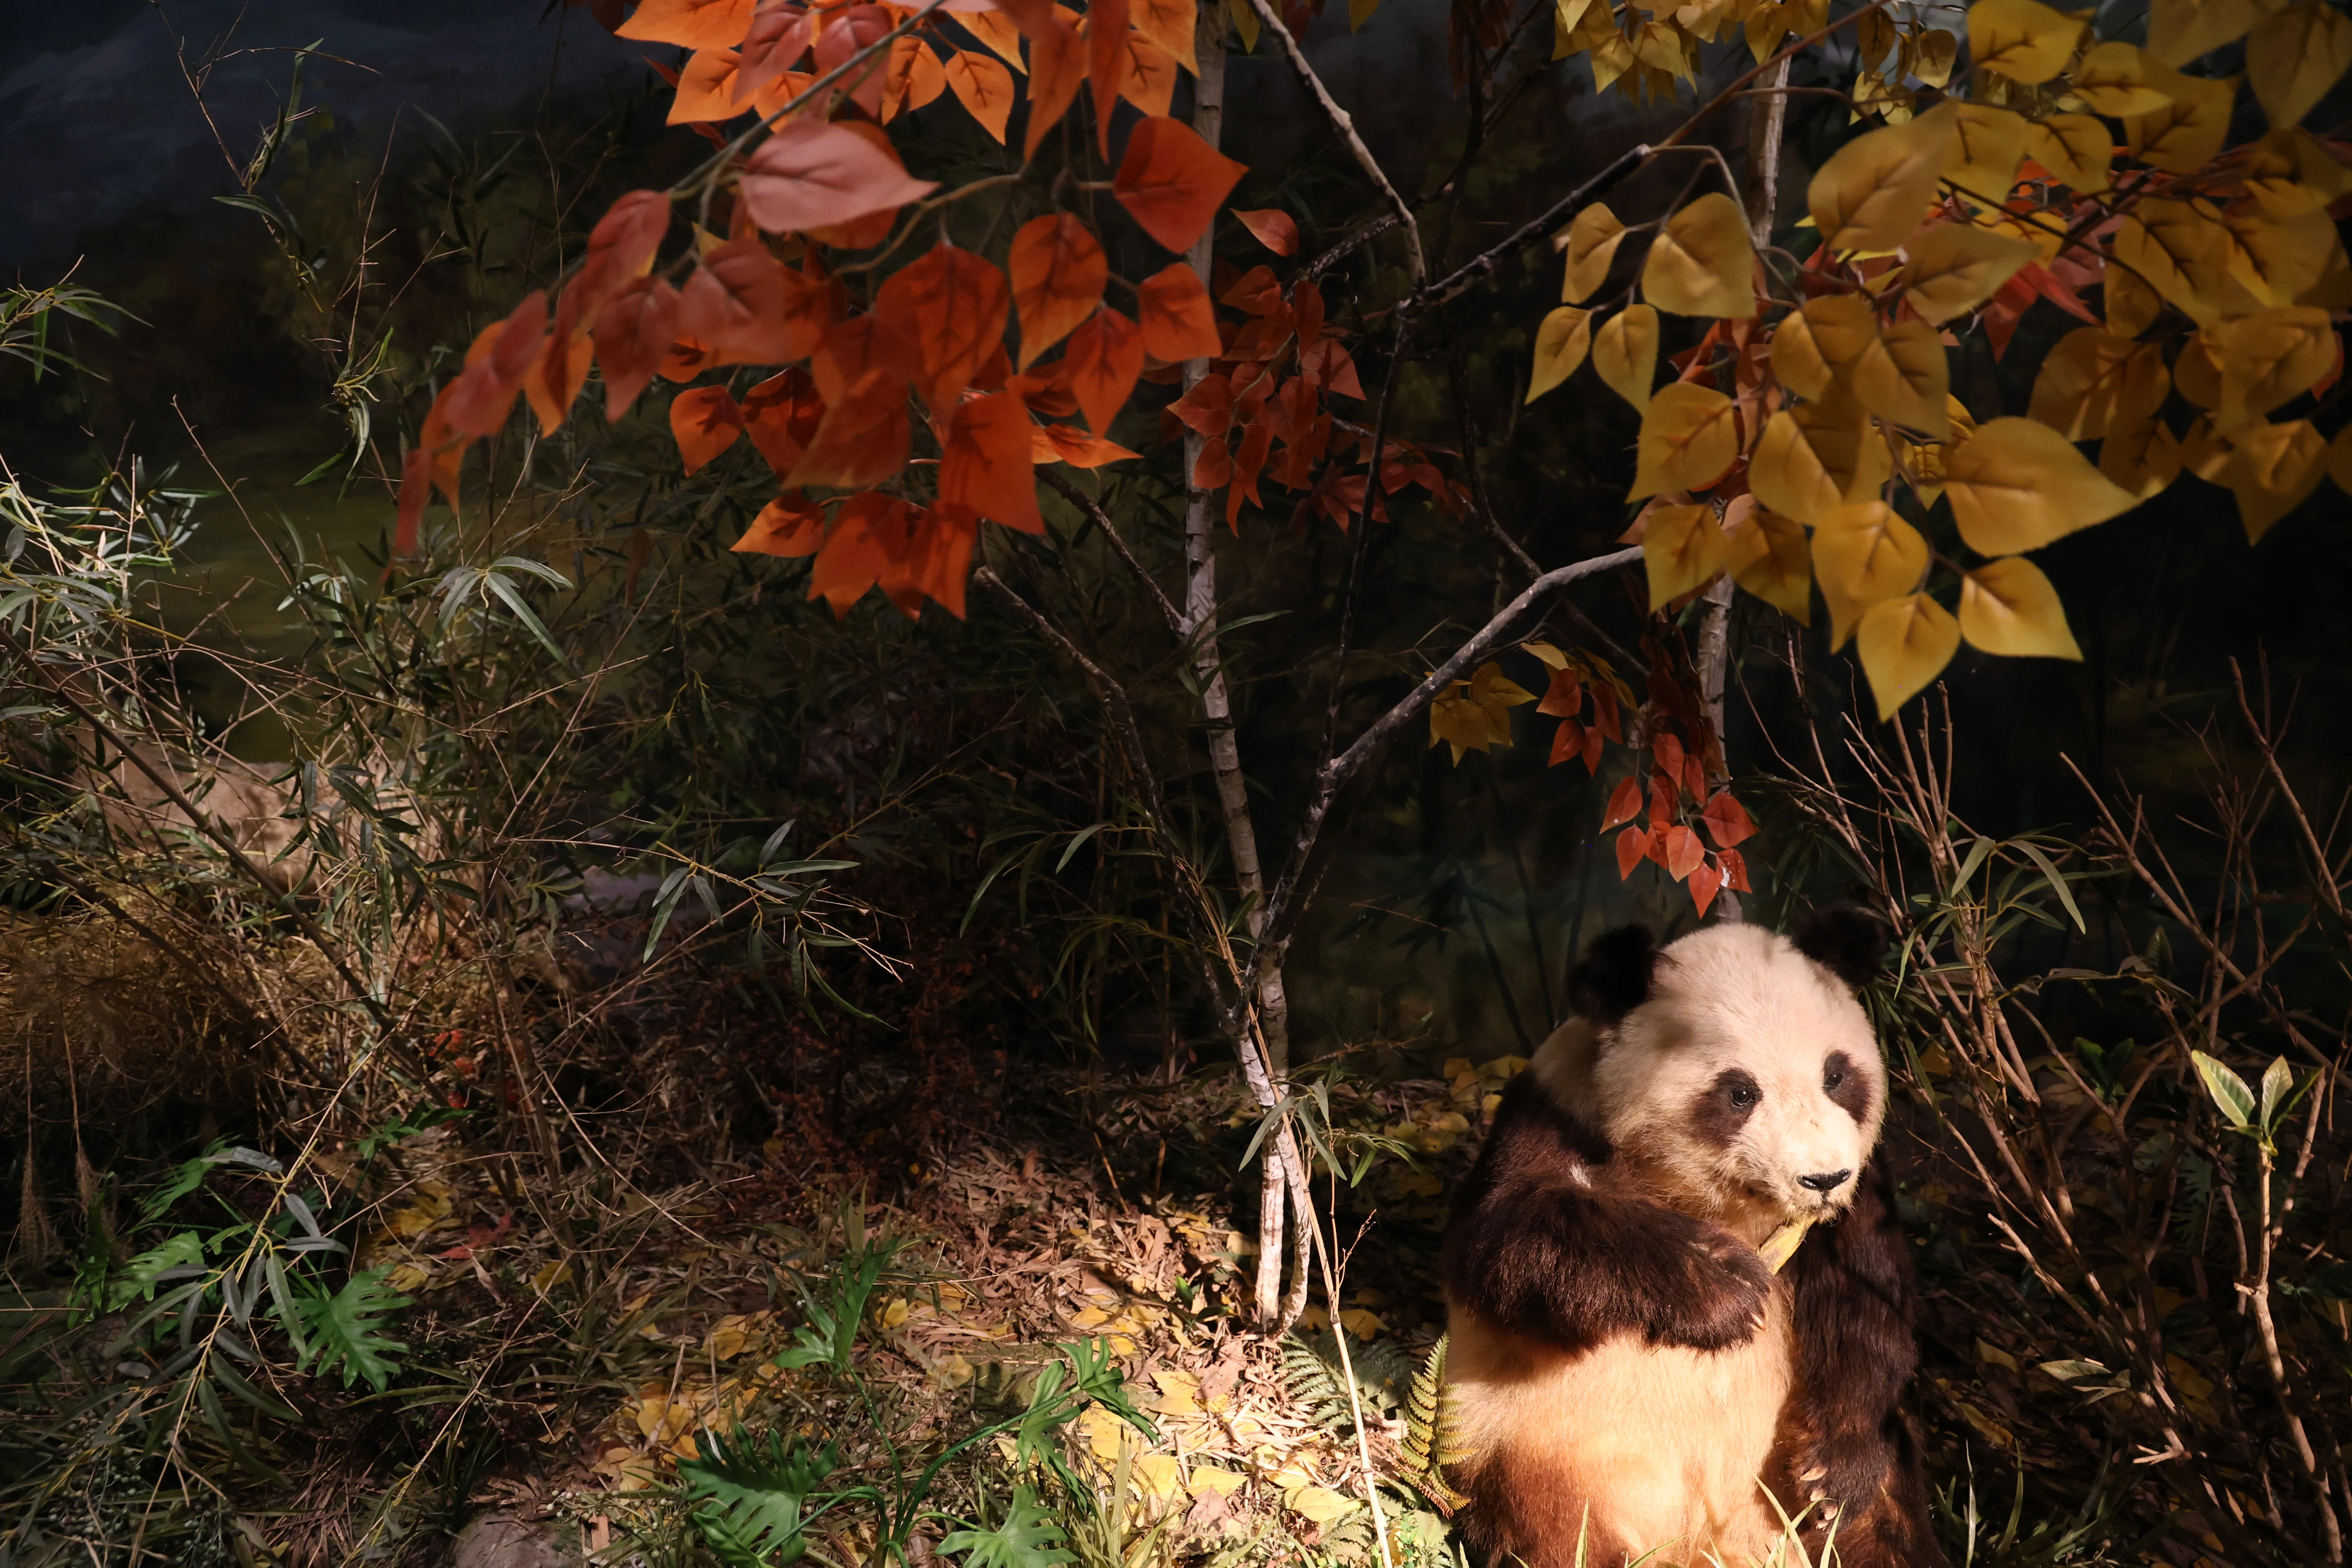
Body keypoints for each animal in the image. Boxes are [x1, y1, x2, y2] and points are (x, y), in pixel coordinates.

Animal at [1441, 908, 1944, 1568]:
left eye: (1836, 1076)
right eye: (1740, 1093)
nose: (1823, 1178)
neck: (1727, 1204)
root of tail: (1707, 1545)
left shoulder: (1860, 1196)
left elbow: (1870, 1304)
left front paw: (1831, 1475)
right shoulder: (1551, 1118)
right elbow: (1509, 1240)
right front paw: (1724, 1285)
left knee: (1886, 1517)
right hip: (1546, 1450)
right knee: (1552, 1524)